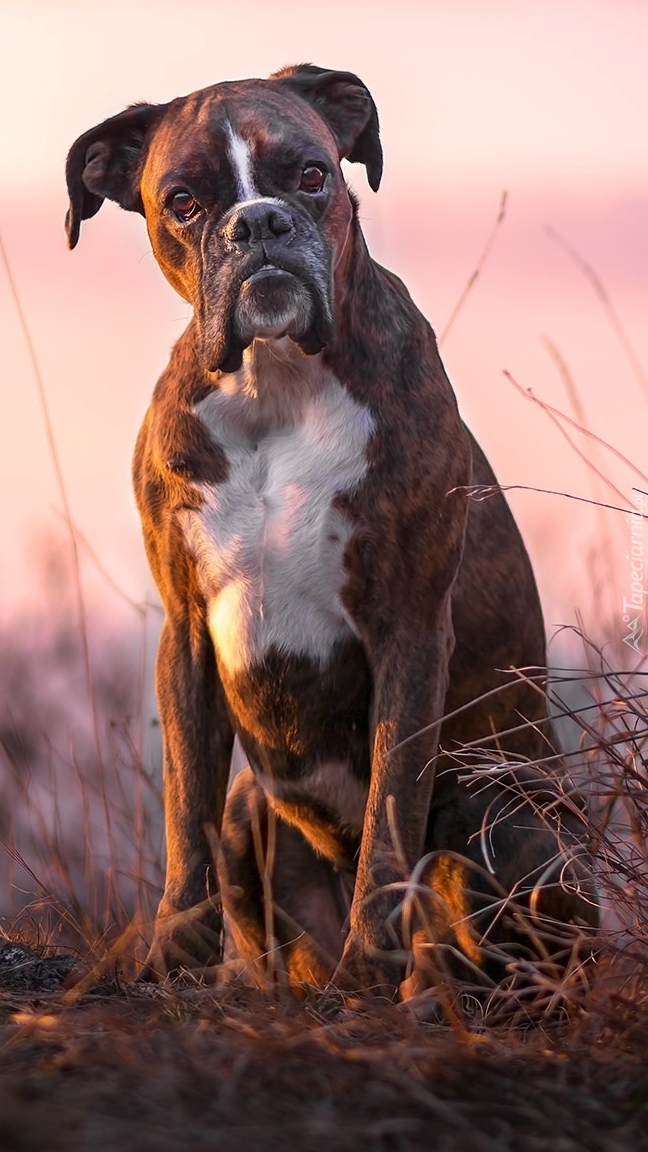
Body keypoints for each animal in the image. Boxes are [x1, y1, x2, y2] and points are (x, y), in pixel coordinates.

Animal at [65, 65, 594, 999]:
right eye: (183, 201)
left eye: (311, 175)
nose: (258, 224)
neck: (272, 387)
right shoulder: (186, 634)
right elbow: (185, 808)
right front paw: (173, 952)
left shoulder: (408, 634)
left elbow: (390, 815)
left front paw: (370, 965)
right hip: (256, 807)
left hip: (502, 814)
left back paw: (424, 991)